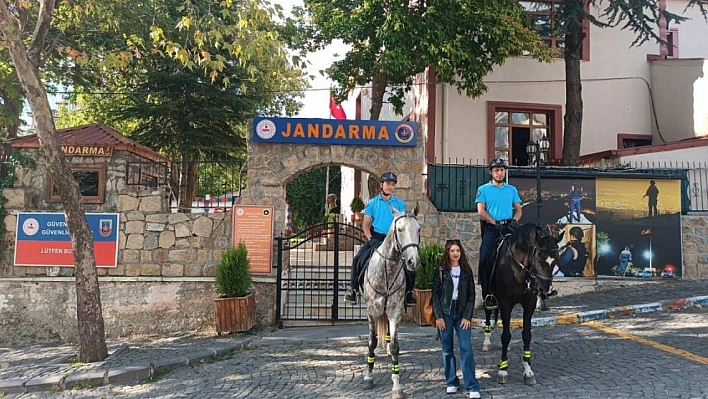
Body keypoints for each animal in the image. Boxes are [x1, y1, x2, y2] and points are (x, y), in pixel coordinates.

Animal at [362, 206, 418, 399]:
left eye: (418, 229)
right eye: (399, 229)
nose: (413, 261)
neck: (388, 270)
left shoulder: (395, 312)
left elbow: (395, 346)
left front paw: (396, 385)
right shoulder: (371, 312)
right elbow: (371, 342)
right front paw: (369, 377)